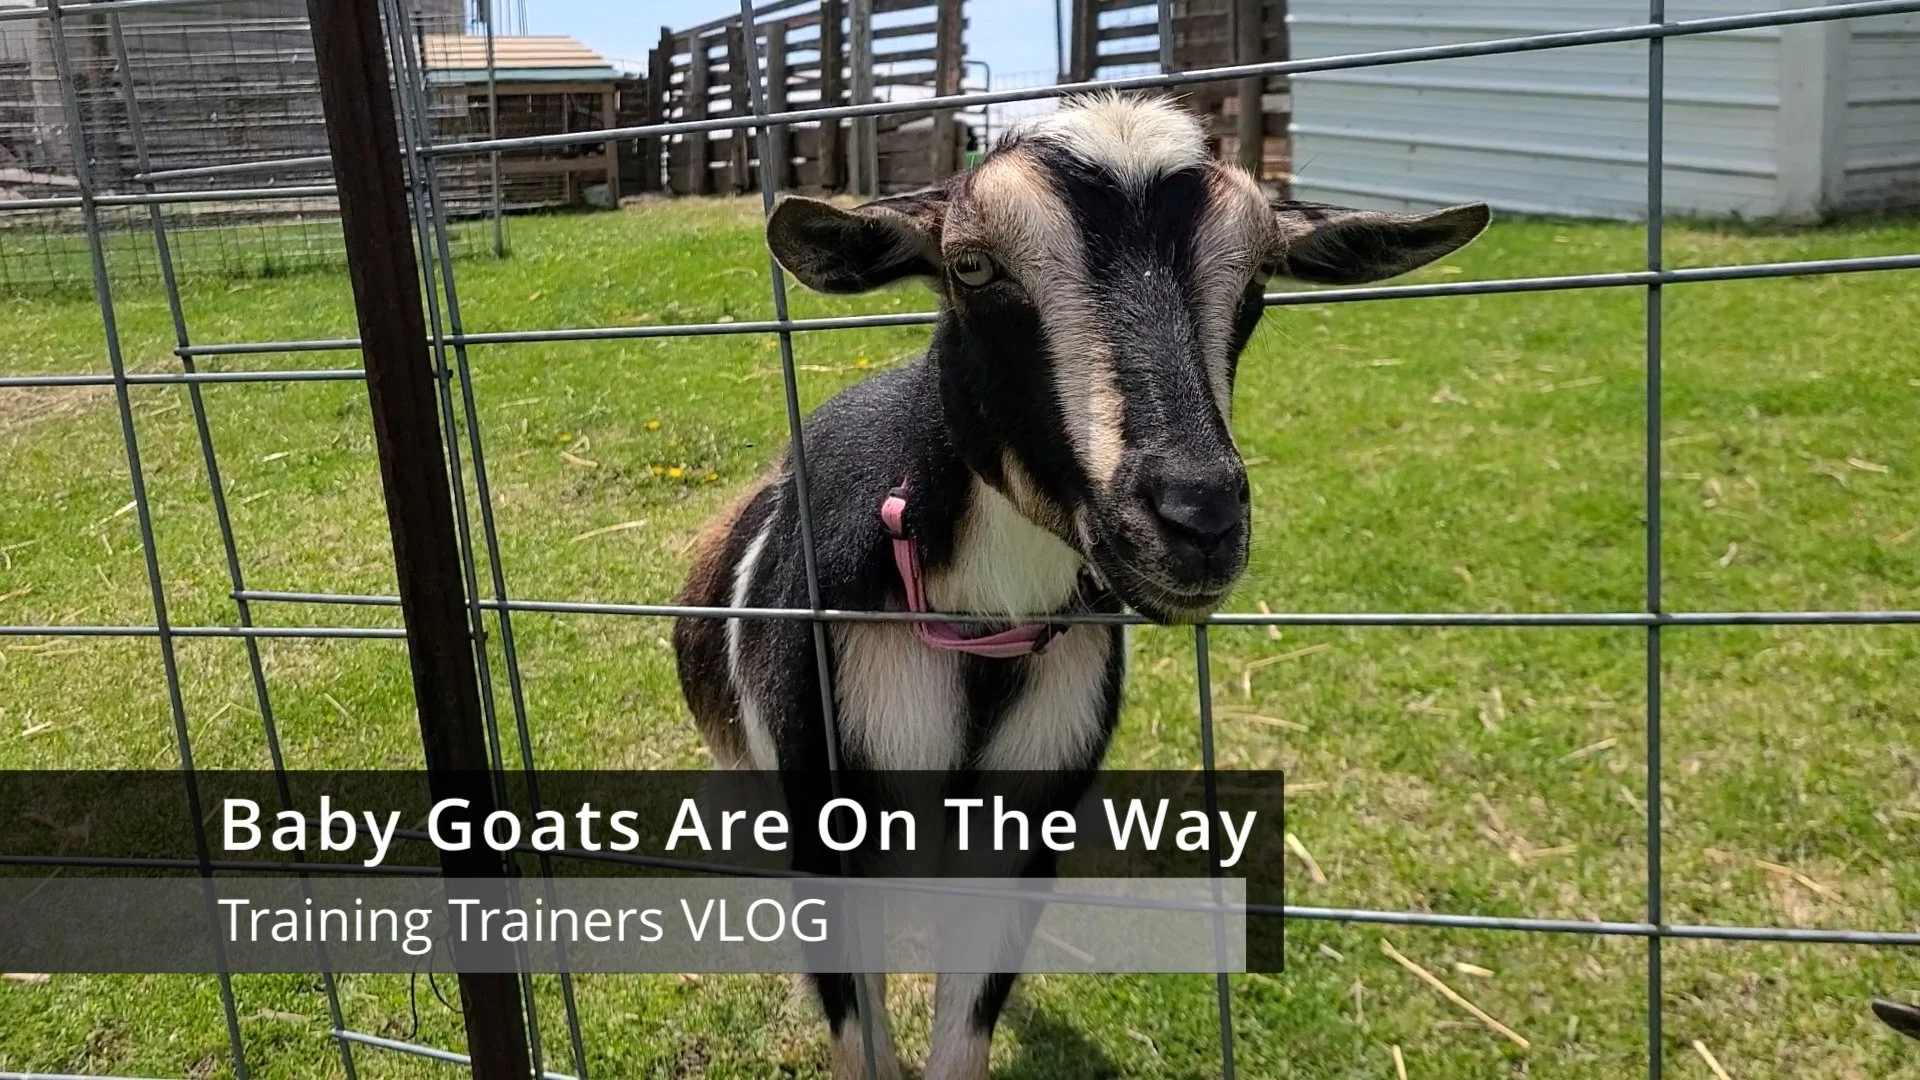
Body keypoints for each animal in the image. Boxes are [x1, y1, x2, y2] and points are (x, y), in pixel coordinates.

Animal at [673, 93, 1488, 1079]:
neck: (981, 627)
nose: (1197, 517)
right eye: (971, 264)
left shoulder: (1023, 842)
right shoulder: (826, 835)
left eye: (1259, 274)